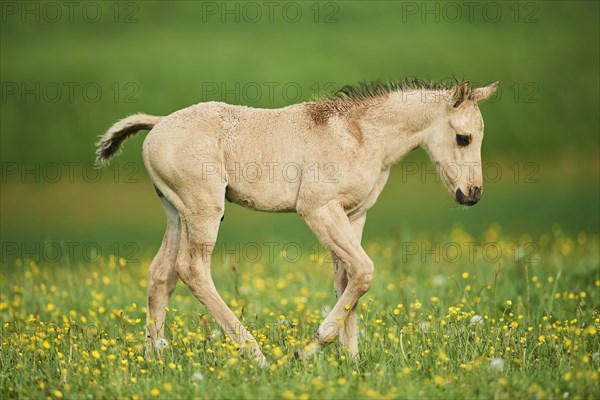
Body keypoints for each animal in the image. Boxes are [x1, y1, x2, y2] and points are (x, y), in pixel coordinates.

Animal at [97, 79, 496, 364]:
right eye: (463, 138)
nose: (473, 194)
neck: (360, 135)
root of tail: (159, 123)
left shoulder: (354, 214)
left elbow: (349, 278)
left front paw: (353, 362)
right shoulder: (318, 209)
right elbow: (364, 271)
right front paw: (308, 350)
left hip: (176, 213)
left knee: (161, 275)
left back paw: (155, 359)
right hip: (204, 209)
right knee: (192, 269)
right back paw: (255, 354)